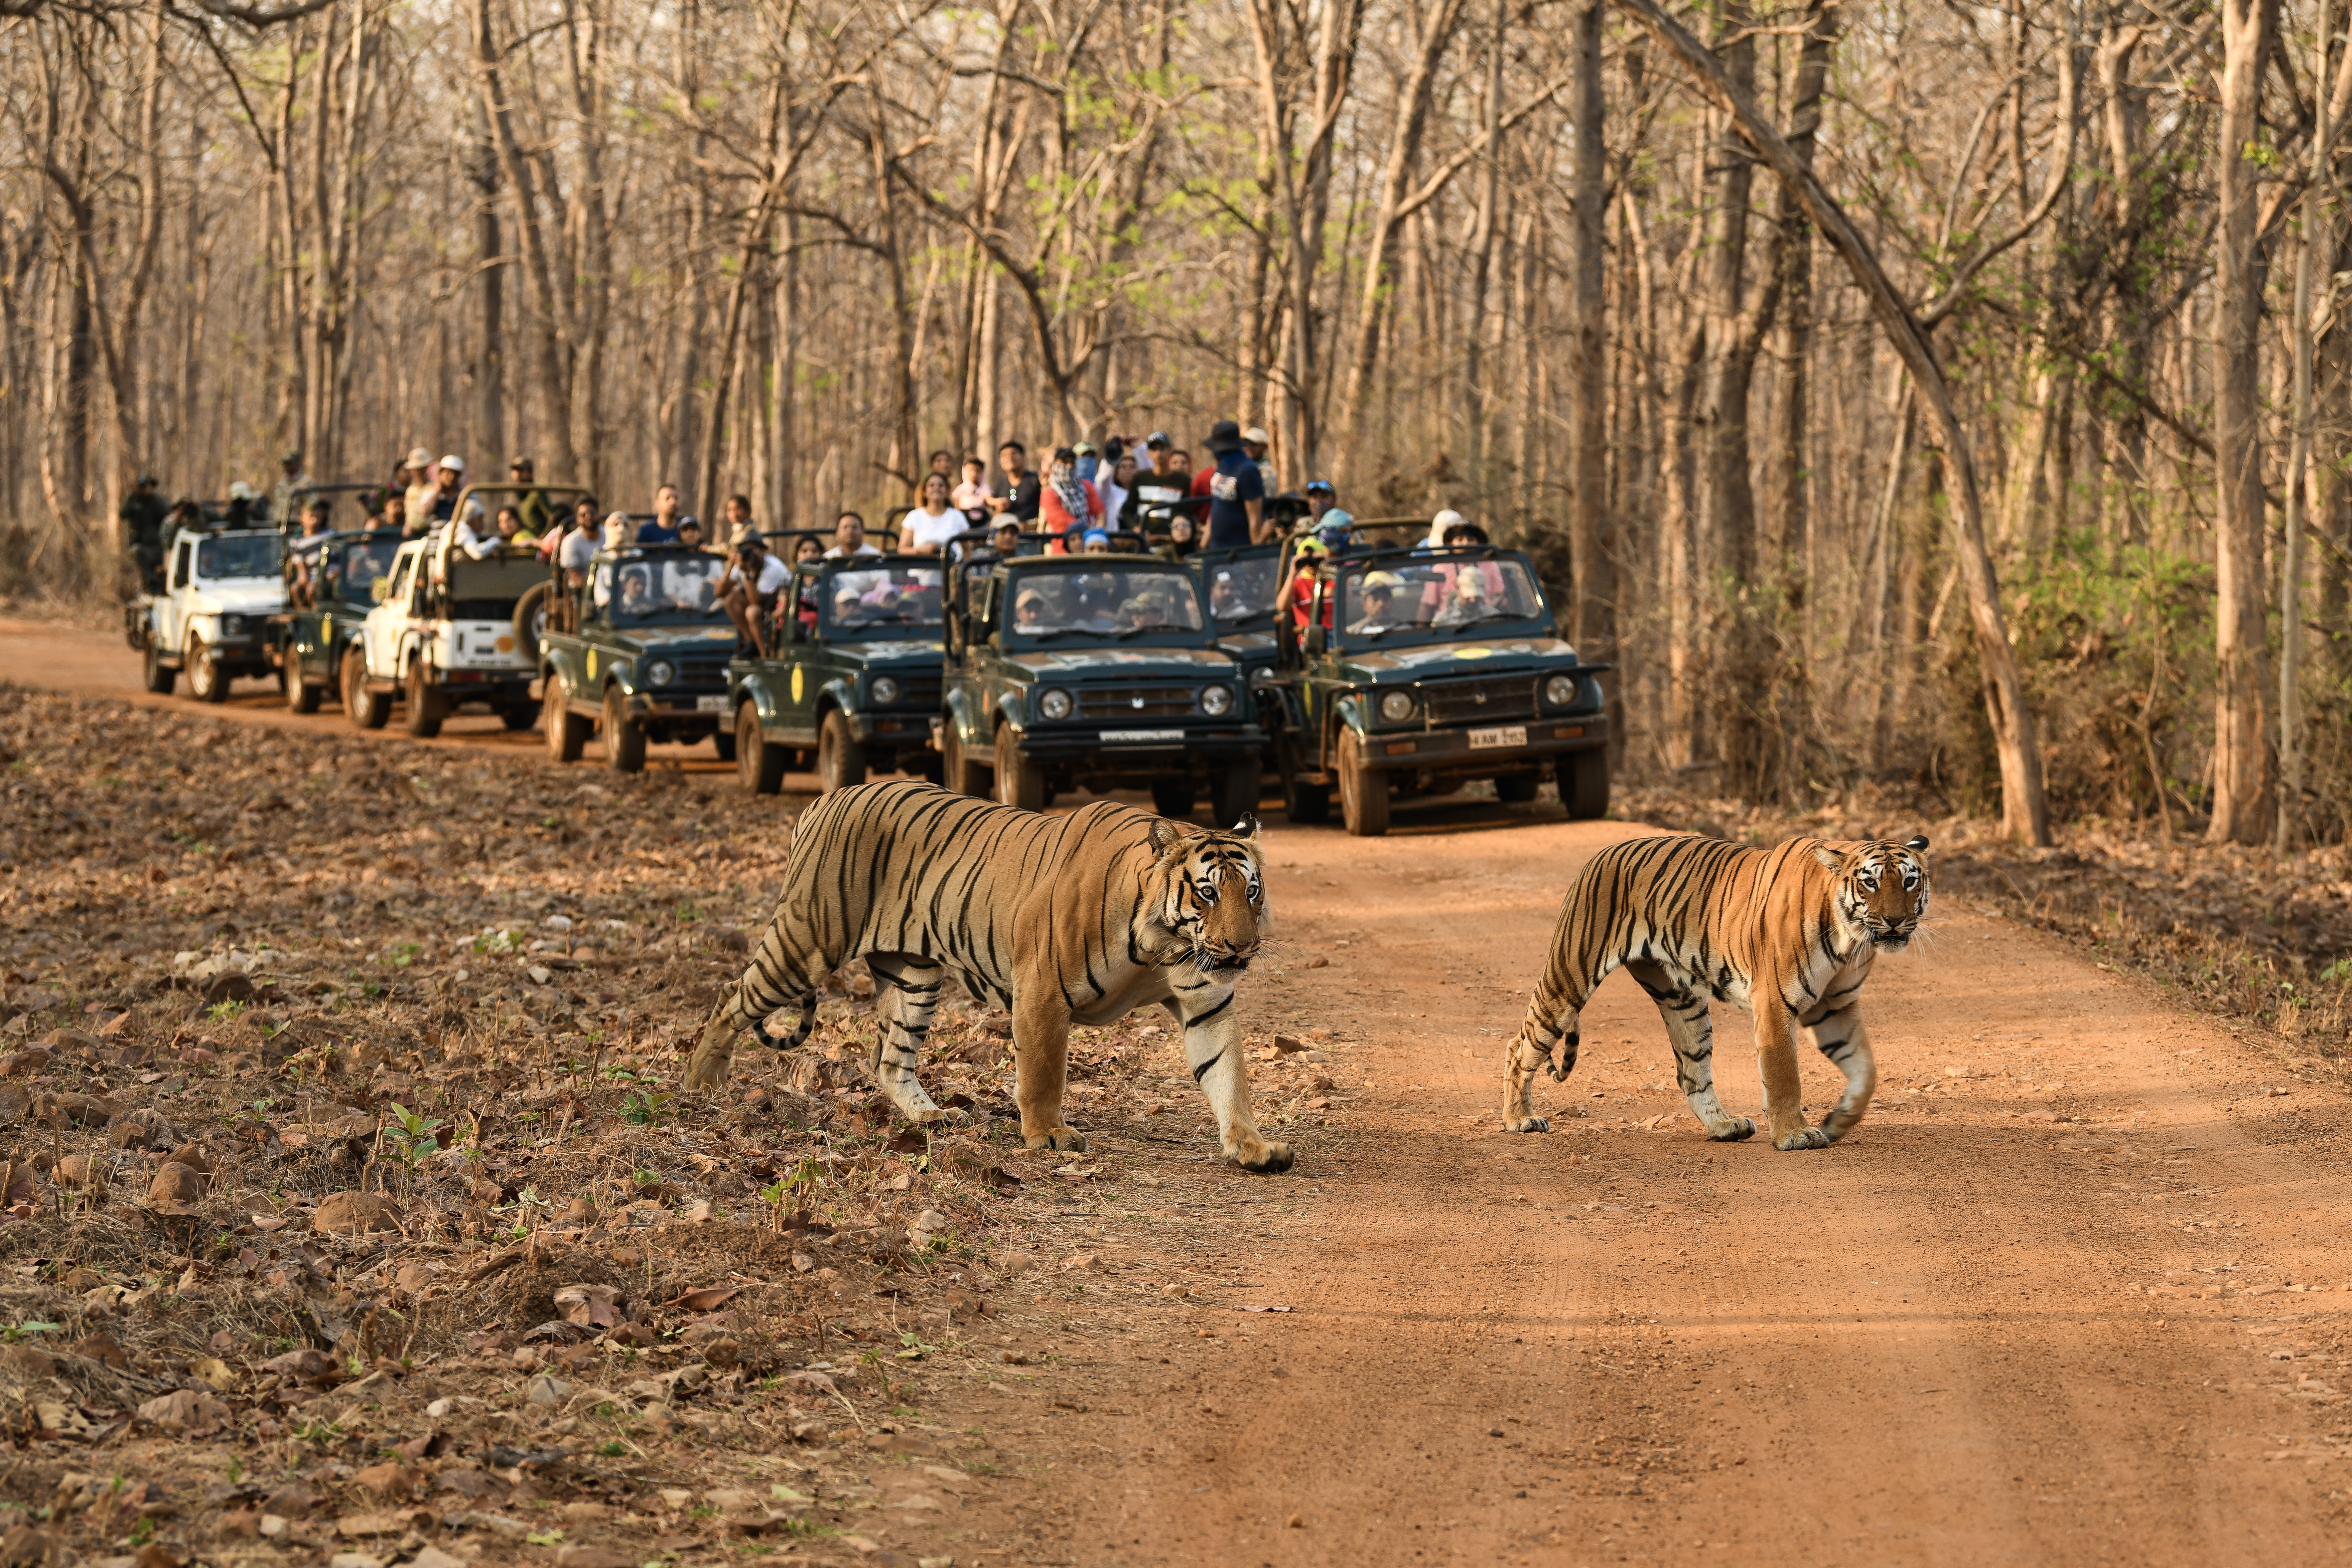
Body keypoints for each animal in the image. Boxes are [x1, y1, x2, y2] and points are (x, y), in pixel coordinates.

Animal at [682, 780, 1298, 1170]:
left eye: (1250, 890)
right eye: (1207, 892)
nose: (1242, 947)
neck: (1162, 942)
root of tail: (822, 799)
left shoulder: (1206, 1000)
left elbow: (1228, 1076)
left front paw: (1253, 1146)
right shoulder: (1042, 990)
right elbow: (1043, 1073)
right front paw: (1048, 1136)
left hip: (915, 977)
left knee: (889, 1058)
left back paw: (932, 1117)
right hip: (807, 941)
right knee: (730, 995)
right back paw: (699, 1084)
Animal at [1505, 832, 1928, 1152]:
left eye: (1910, 881)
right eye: (1870, 882)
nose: (1895, 921)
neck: (1849, 939)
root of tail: (1600, 854)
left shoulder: (1835, 1008)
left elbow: (1866, 1071)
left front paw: (1839, 1121)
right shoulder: (1774, 1002)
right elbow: (1784, 1074)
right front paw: (1794, 1134)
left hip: (1682, 1002)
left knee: (1691, 1073)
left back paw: (1724, 1126)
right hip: (1569, 976)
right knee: (1519, 1044)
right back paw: (1520, 1119)